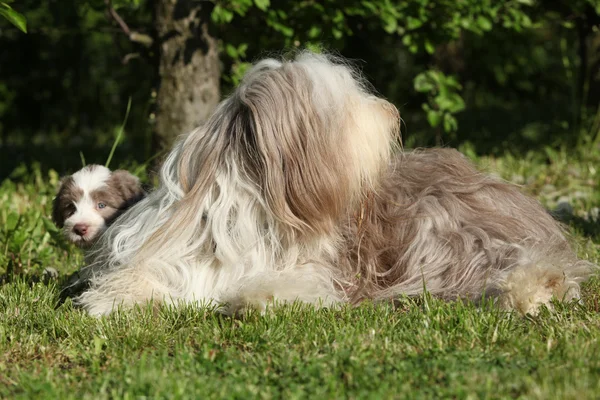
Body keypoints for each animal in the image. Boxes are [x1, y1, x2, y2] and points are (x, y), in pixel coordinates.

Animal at [72, 52, 592, 316]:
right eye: (347, 105)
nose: (391, 112)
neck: (252, 207)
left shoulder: (320, 267)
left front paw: (255, 298)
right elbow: (146, 273)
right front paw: (112, 297)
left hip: (441, 232)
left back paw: (531, 291)